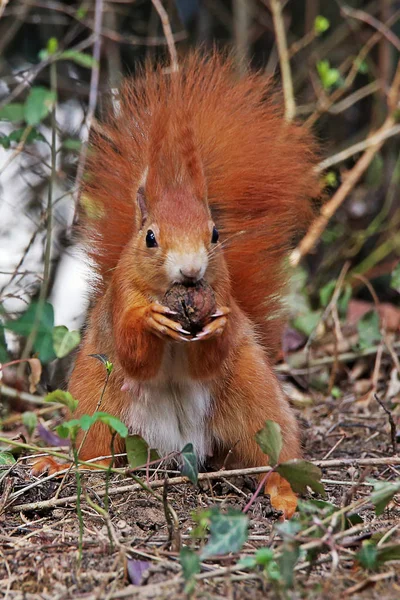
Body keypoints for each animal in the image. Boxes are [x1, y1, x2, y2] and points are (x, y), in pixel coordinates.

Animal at [32, 52, 320, 474]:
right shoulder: (121, 296)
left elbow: (208, 358)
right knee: (92, 453)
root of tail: (178, 447)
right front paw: (149, 321)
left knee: (274, 450)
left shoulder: (223, 292)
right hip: (95, 404)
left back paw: (283, 484)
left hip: (254, 394)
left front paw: (217, 325)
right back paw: (57, 464)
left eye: (214, 234)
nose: (191, 270)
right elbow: (133, 354)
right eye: (150, 238)